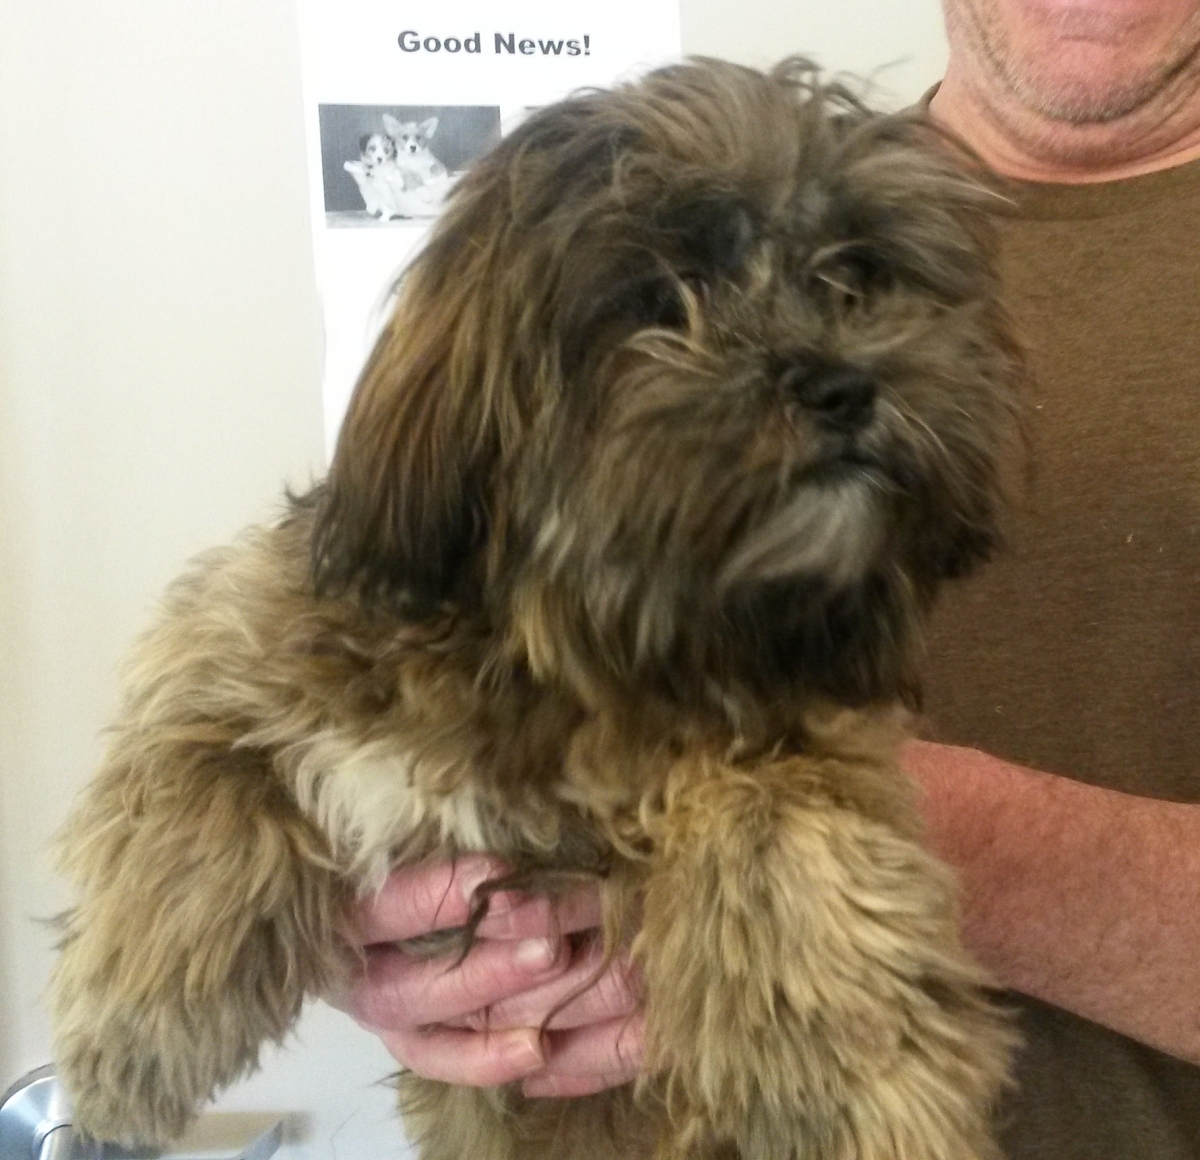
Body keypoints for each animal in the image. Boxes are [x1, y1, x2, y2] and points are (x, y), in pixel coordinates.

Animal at [51, 59, 1021, 1159]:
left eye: (854, 276)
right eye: (662, 297)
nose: (845, 384)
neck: (567, 652)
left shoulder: (814, 729)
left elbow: (786, 828)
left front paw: (865, 1084)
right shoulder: (246, 643)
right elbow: (187, 779)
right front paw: (127, 1033)